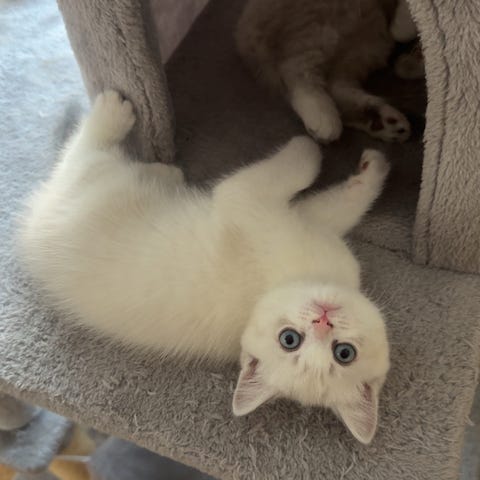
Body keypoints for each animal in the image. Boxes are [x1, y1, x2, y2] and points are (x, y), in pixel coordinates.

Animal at [19, 91, 390, 444]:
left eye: (343, 353)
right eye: (290, 339)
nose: (323, 319)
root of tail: (31, 238)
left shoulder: (277, 217)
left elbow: (317, 193)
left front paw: (347, 158)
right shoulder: (268, 210)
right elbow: (324, 195)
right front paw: (341, 151)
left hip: (95, 187)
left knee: (80, 160)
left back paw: (144, 151)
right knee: (80, 156)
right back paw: (128, 130)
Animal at [236, 0, 414, 143]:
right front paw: (402, 27)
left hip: (367, 45)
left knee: (336, 87)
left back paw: (382, 122)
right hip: (317, 28)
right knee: (295, 70)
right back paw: (323, 117)